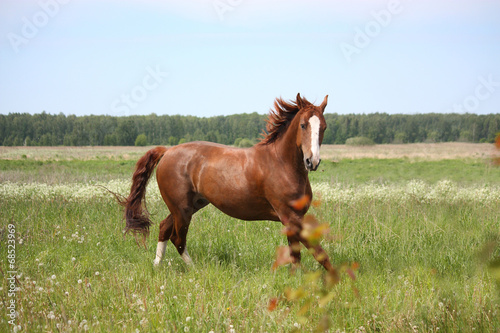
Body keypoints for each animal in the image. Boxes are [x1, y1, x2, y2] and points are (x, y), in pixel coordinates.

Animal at [121, 92, 334, 272]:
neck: (281, 163)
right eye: (303, 125)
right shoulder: (289, 216)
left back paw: (156, 266)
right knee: (177, 238)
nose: (312, 161)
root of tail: (167, 151)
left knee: (164, 228)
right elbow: (319, 253)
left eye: (324, 127)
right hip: (181, 209)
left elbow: (297, 254)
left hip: (189, 205)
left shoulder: (294, 218)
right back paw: (195, 270)